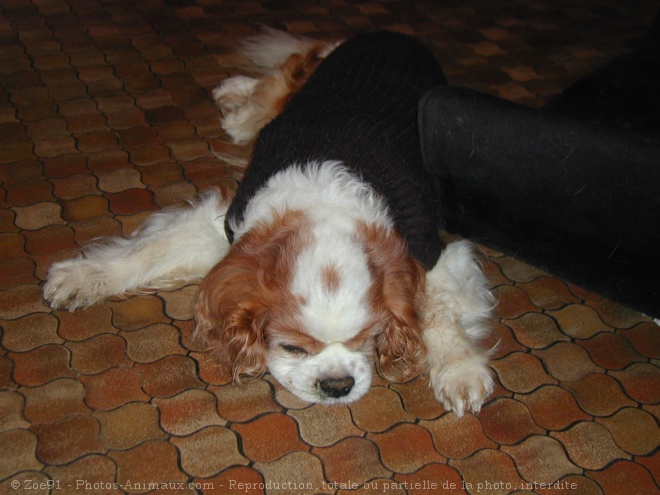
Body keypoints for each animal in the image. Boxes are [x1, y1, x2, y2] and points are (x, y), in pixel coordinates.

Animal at [43, 30, 492, 418]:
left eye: (366, 339)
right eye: (292, 348)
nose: (337, 385)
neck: (325, 201)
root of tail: (390, 34)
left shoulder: (431, 250)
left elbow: (437, 311)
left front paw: (460, 369)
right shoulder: (227, 224)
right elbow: (149, 251)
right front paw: (83, 276)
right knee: (276, 80)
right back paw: (238, 101)